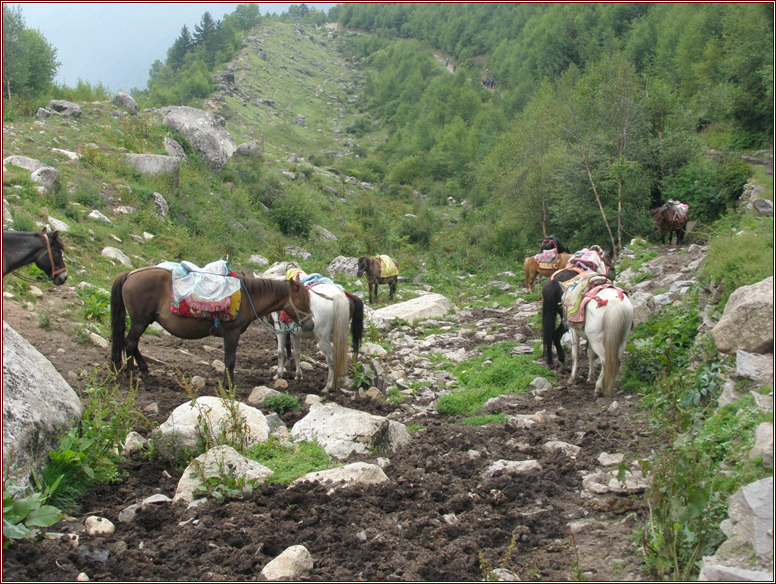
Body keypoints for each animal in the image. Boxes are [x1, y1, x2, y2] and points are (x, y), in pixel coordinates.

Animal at [110, 268, 316, 388]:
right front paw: (229, 386)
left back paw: (144, 370)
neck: (248, 296)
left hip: (143, 321)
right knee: (130, 343)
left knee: (132, 344)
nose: (311, 324)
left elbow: (227, 360)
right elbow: (230, 360)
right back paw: (132, 375)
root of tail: (129, 274)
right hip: (140, 321)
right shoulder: (231, 332)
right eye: (301, 300)